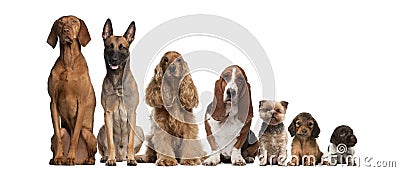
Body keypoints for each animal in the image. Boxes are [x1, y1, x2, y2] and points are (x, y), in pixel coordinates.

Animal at [46, 15, 96, 165]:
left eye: (74, 21)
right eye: (60, 23)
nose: (65, 30)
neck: (68, 61)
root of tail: (81, 159)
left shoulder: (82, 102)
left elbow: (75, 136)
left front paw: (71, 157)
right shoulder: (53, 102)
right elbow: (58, 134)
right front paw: (58, 157)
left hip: (89, 135)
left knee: (89, 149)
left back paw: (87, 160)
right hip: (62, 131)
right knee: (59, 135)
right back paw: (55, 158)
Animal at [97, 18, 144, 165]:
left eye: (122, 47)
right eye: (109, 46)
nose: (114, 60)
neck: (117, 81)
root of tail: (121, 156)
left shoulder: (131, 113)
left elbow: (130, 142)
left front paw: (132, 159)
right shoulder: (108, 114)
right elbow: (111, 142)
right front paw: (110, 159)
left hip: (140, 129)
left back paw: (135, 157)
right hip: (101, 129)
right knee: (106, 147)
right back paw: (108, 157)